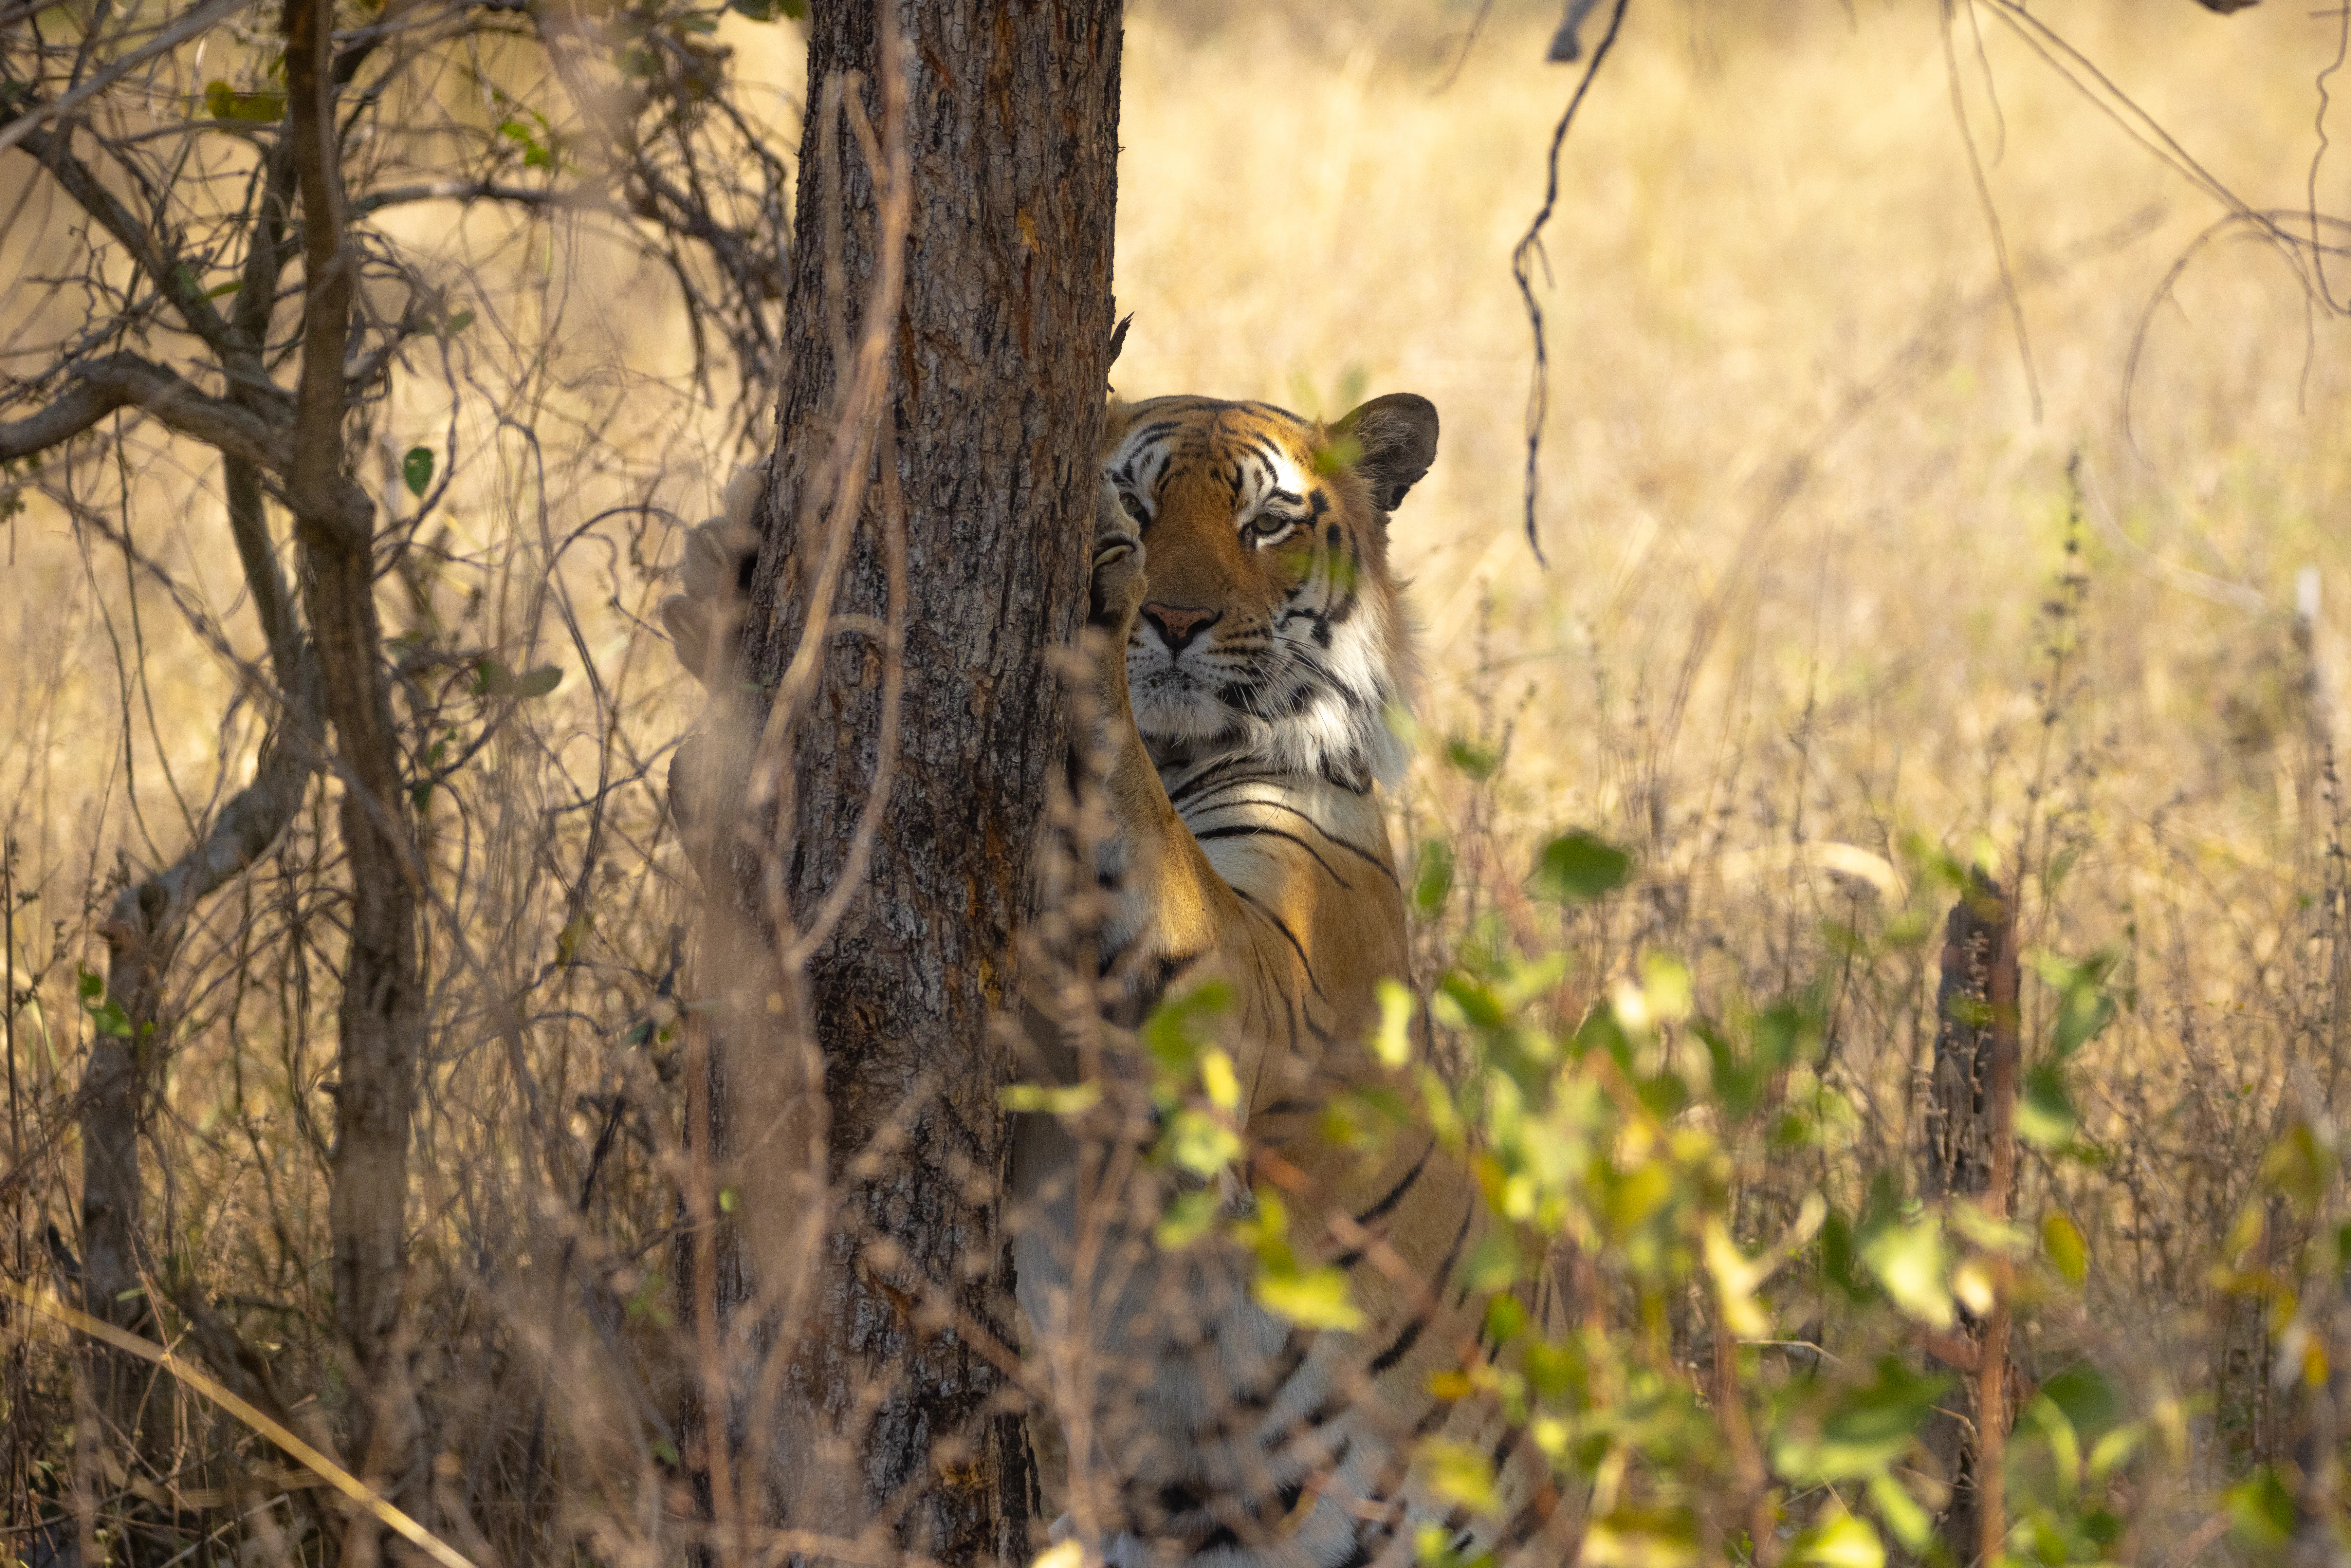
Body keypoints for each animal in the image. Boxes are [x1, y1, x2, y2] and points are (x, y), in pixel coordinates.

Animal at [1010, 393, 1570, 1568]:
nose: (1172, 616)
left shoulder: (1236, 993)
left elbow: (1142, 819)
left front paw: (1096, 602)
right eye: (1133, 494)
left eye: (1267, 522)